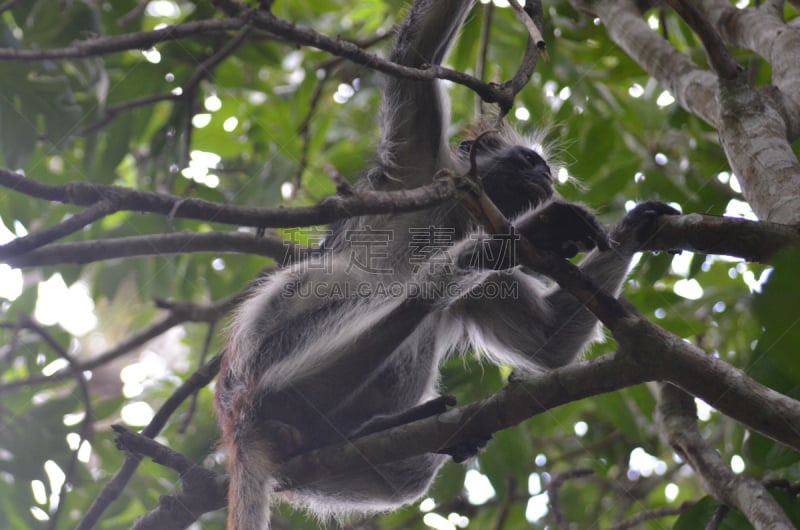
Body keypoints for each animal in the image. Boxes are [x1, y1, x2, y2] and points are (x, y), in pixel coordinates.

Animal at [216, 2, 680, 524]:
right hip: (269, 354)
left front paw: (635, 226)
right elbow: (417, 50)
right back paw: (482, 254)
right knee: (392, 290)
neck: (459, 215)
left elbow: (548, 344)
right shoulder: (419, 159)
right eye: (528, 160)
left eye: (543, 167)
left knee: (405, 468)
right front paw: (529, 234)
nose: (544, 174)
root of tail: (236, 419)